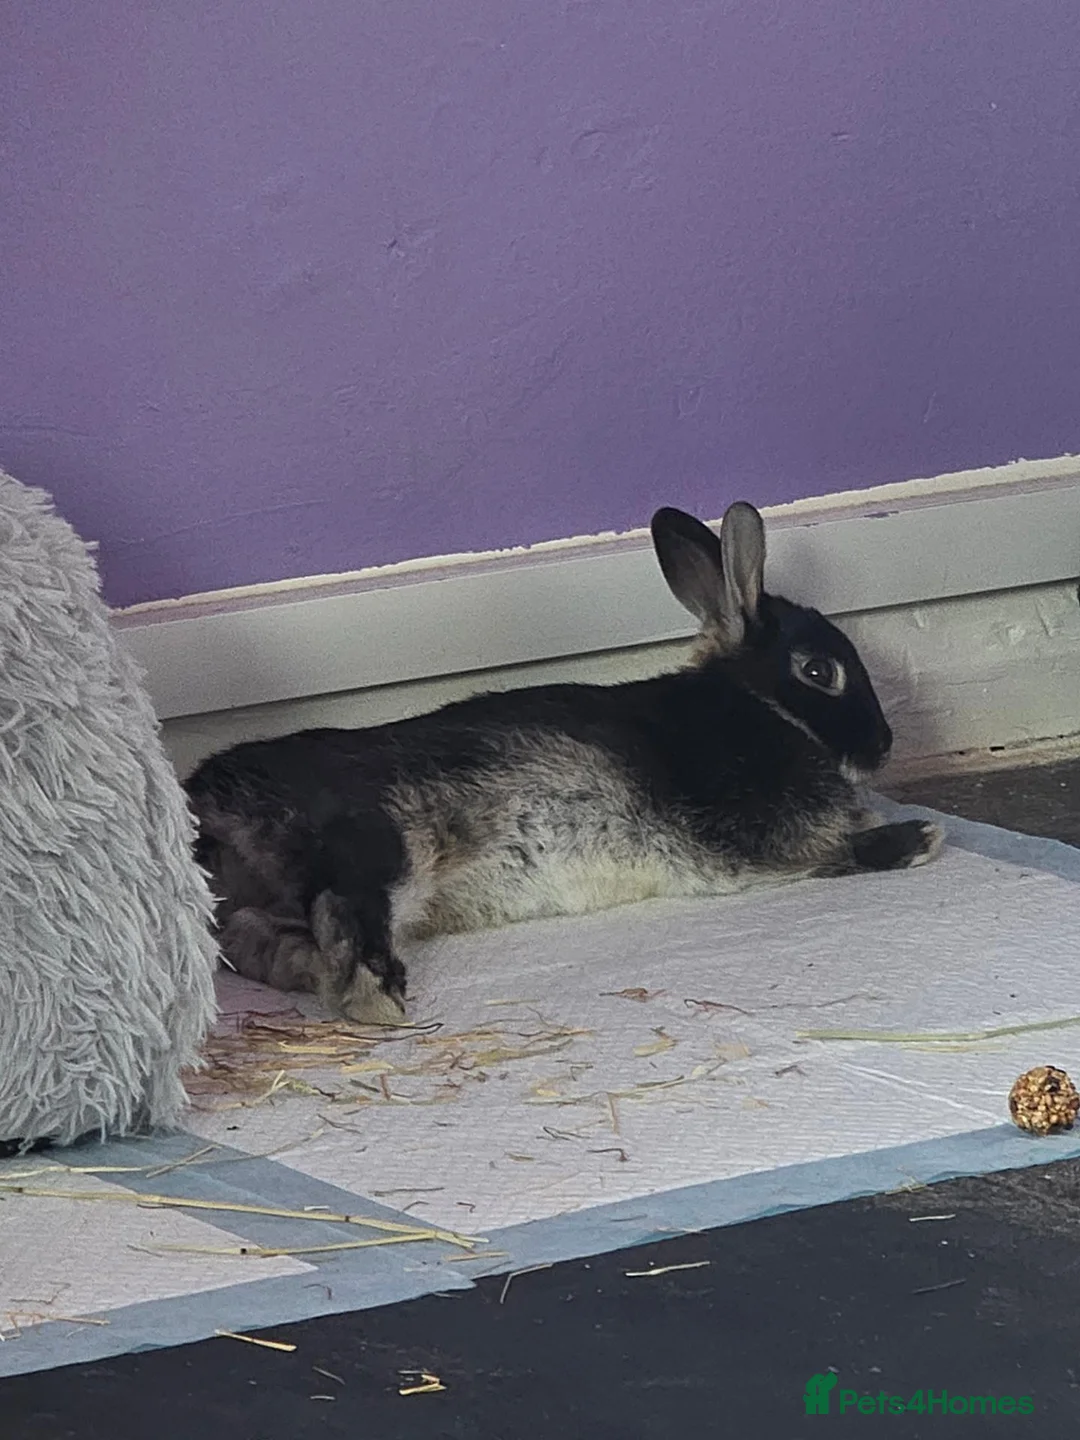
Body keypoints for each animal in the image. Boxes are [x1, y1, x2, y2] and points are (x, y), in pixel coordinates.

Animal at [185, 500, 943, 1025]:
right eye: (818, 672)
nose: (883, 744)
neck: (758, 705)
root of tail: (205, 806)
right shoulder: (759, 845)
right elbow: (830, 855)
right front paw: (919, 838)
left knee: (259, 941)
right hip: (380, 842)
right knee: (344, 906)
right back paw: (378, 995)